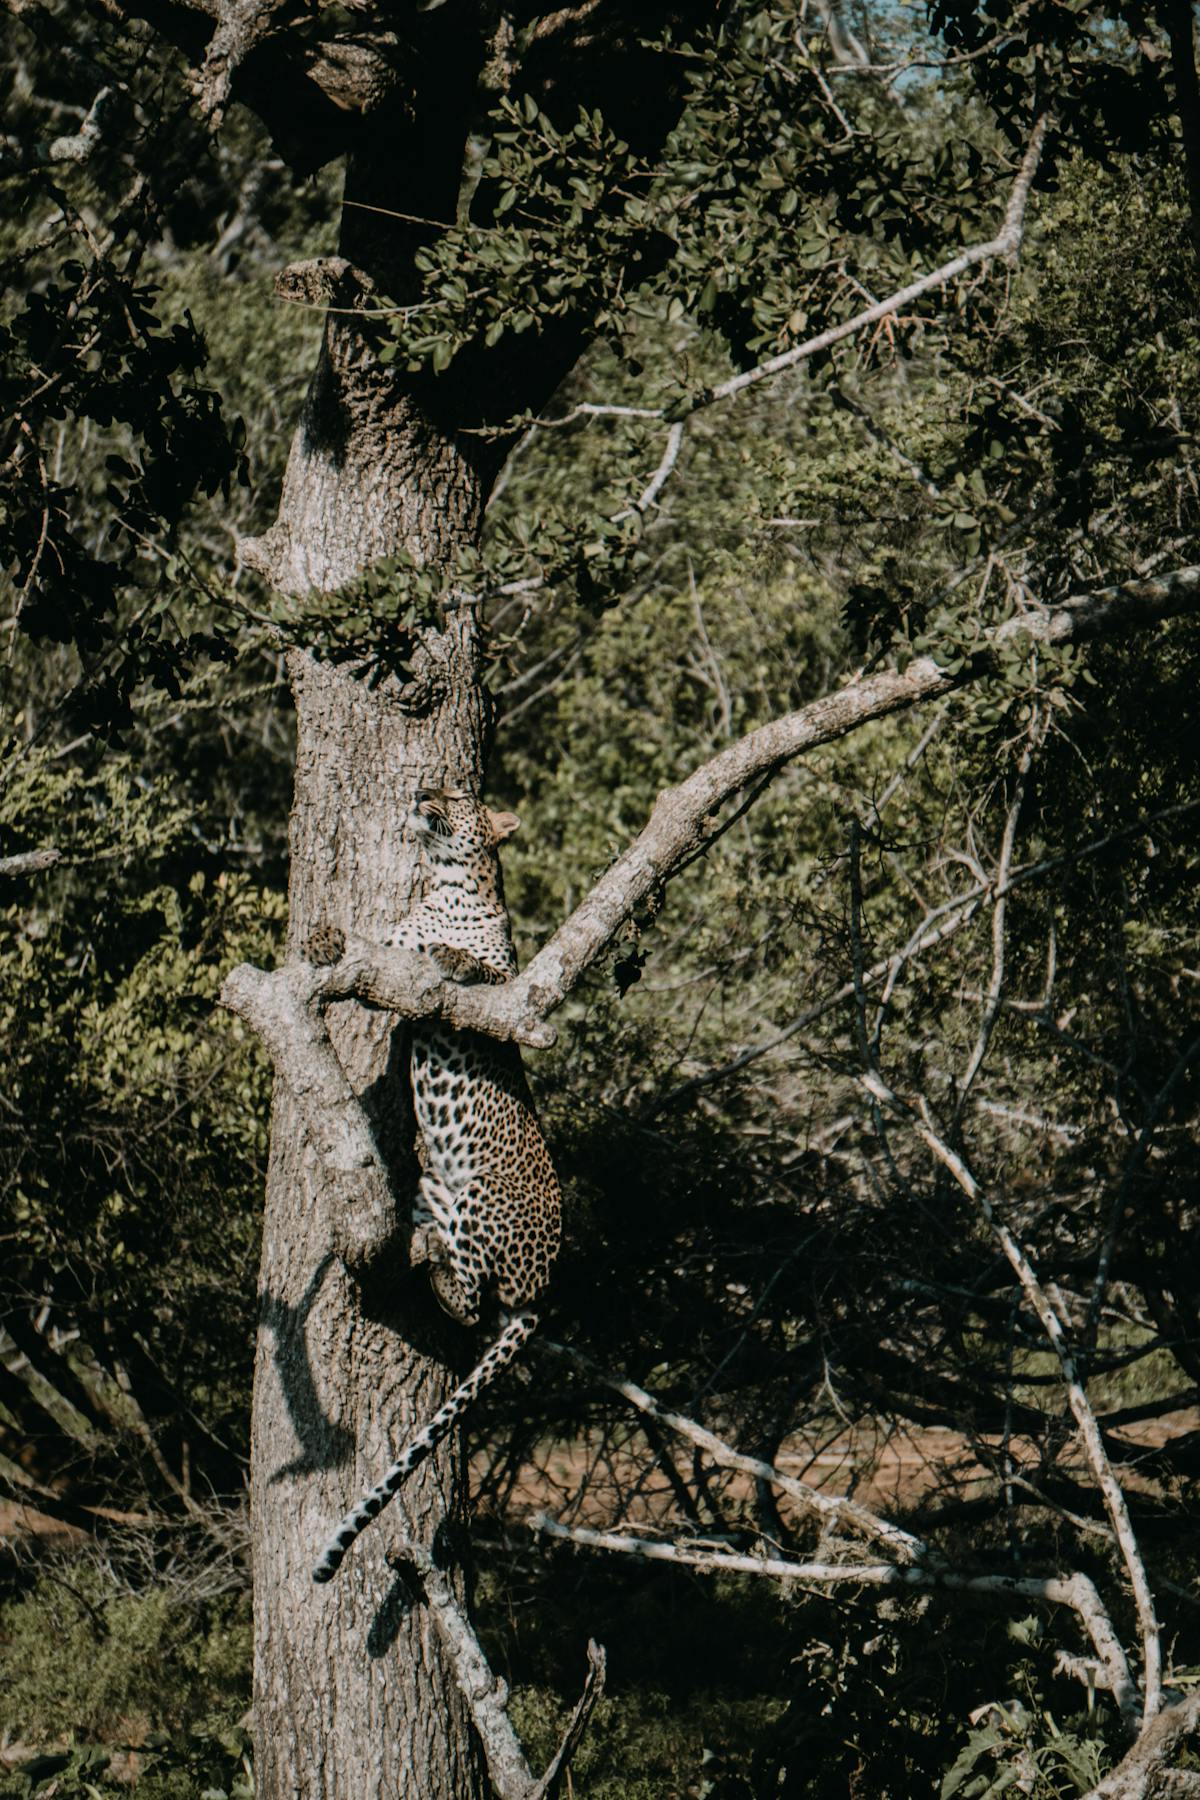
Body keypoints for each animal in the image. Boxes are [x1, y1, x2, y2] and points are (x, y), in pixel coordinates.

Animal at [312, 787, 561, 1583]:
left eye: (460, 795)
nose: (423, 791)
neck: (445, 886)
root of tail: (544, 1291)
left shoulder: (507, 989)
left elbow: (471, 968)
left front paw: (452, 953)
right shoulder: (392, 946)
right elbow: (378, 949)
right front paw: (326, 939)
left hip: (484, 1198)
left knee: (477, 1299)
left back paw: (437, 1271)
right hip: (434, 1188)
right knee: (463, 1285)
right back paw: (425, 1252)